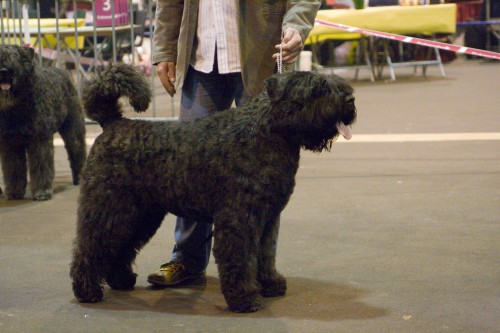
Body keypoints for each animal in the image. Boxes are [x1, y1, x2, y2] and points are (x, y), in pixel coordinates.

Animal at [0, 45, 85, 198]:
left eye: (17, 56)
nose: (4, 71)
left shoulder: (39, 139)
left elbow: (41, 165)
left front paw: (42, 191)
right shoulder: (10, 144)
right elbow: (13, 168)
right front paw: (15, 191)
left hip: (73, 131)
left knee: (78, 151)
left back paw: (80, 177)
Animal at [70, 65, 356, 312]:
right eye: (317, 89)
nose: (350, 99)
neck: (265, 132)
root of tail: (113, 124)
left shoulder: (267, 217)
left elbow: (264, 254)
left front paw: (270, 283)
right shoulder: (240, 218)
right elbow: (240, 257)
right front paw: (244, 298)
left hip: (140, 214)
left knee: (120, 247)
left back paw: (121, 280)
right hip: (109, 209)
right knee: (90, 246)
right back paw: (87, 291)